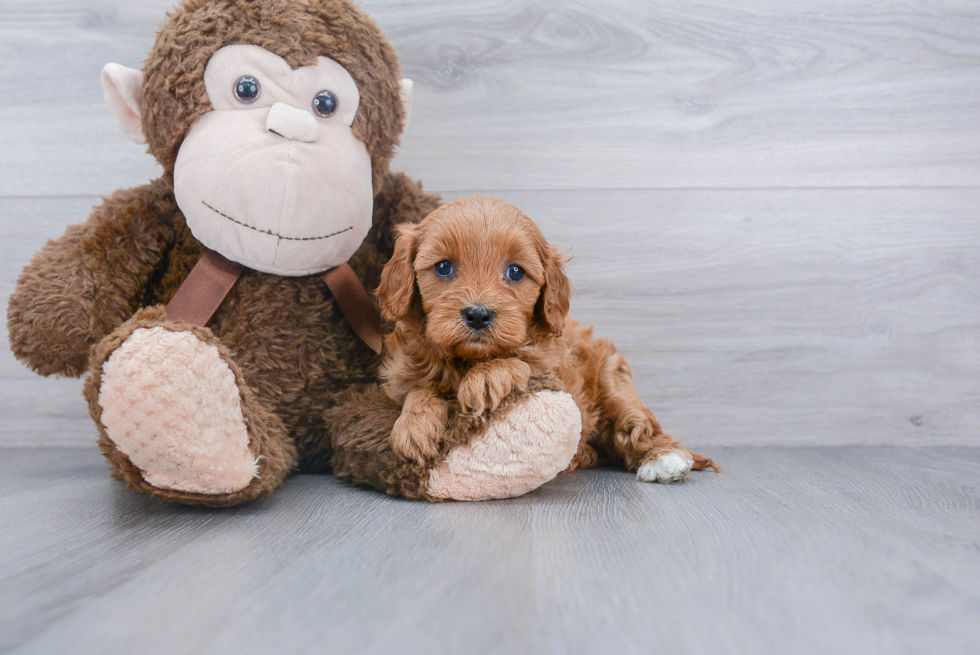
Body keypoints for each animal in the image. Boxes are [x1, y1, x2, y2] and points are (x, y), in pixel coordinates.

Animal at [372, 195, 716, 482]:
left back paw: (664, 459)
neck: (467, 359)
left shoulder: (554, 370)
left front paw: (485, 379)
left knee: (636, 424)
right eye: (443, 267)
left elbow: (520, 359)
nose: (478, 314)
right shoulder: (403, 372)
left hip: (613, 382)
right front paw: (414, 427)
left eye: (515, 272)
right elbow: (419, 388)